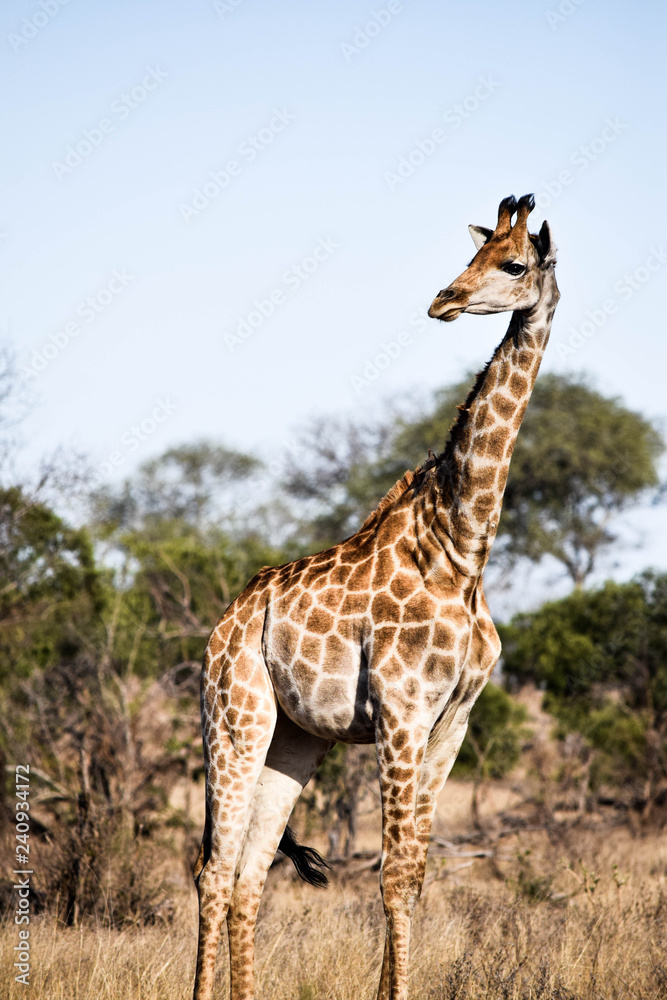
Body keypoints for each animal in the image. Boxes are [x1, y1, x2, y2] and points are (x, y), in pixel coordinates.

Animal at [192, 193, 559, 1000]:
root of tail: (222, 627)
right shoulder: (400, 711)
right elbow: (392, 876)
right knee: (212, 870)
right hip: (235, 721)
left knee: (248, 873)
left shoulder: (452, 722)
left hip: (293, 738)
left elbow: (415, 875)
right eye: (476, 255)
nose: (444, 299)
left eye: (515, 264)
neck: (463, 547)